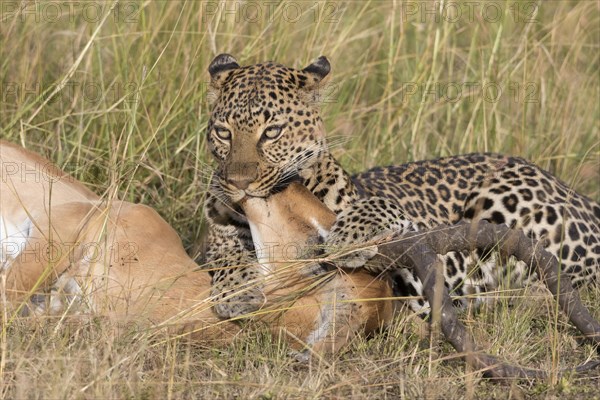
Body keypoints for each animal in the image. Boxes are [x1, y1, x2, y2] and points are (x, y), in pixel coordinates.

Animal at [202, 53, 600, 320]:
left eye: (272, 132)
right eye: (223, 131)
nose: (238, 182)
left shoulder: (422, 269)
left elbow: (383, 207)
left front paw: (348, 236)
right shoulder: (216, 239)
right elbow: (225, 256)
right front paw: (237, 291)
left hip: (504, 199)